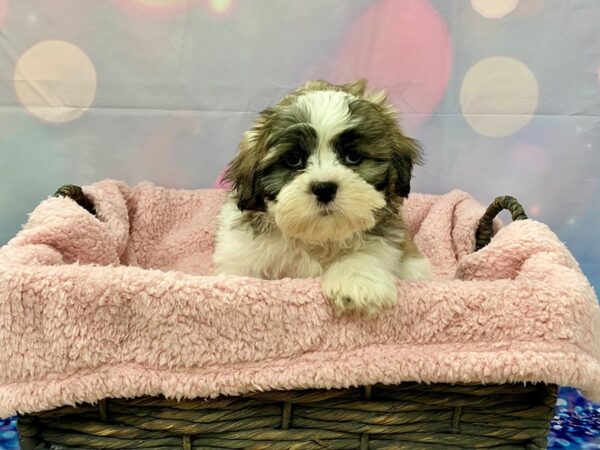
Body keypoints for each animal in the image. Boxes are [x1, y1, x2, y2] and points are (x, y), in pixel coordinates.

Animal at [216, 79, 432, 314]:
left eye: (353, 157)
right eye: (293, 159)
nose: (324, 188)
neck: (318, 238)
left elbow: (370, 250)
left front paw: (356, 280)